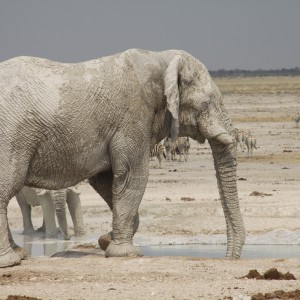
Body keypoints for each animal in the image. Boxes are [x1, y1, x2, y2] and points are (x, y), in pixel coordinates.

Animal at [0, 48, 246, 268]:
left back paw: (19, 253)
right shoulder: (133, 119)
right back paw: (10, 261)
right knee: (6, 188)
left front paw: (105, 240)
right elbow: (133, 176)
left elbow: (106, 180)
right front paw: (126, 253)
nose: (227, 259)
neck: (162, 58)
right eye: (207, 102)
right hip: (11, 134)